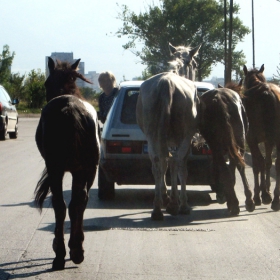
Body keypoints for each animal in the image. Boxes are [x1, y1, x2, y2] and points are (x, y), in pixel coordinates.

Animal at [35, 58, 100, 270]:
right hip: (87, 169)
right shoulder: (82, 170)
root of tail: (70, 109)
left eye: (46, 83)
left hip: (57, 168)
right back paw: (75, 251)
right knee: (77, 202)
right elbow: (77, 203)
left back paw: (61, 253)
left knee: (60, 204)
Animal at [137, 42, 200, 220]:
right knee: (178, 161)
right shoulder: (182, 139)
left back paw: (158, 208)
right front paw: (174, 200)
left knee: (157, 161)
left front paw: (166, 196)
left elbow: (166, 162)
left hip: (152, 136)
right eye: (195, 64)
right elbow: (176, 164)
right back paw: (181, 205)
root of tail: (167, 84)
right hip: (184, 136)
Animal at [243, 64, 280, 211]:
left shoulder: (251, 140)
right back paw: (276, 200)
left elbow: (258, 164)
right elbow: (267, 162)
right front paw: (266, 192)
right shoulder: (267, 141)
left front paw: (260, 195)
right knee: (276, 164)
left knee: (261, 162)